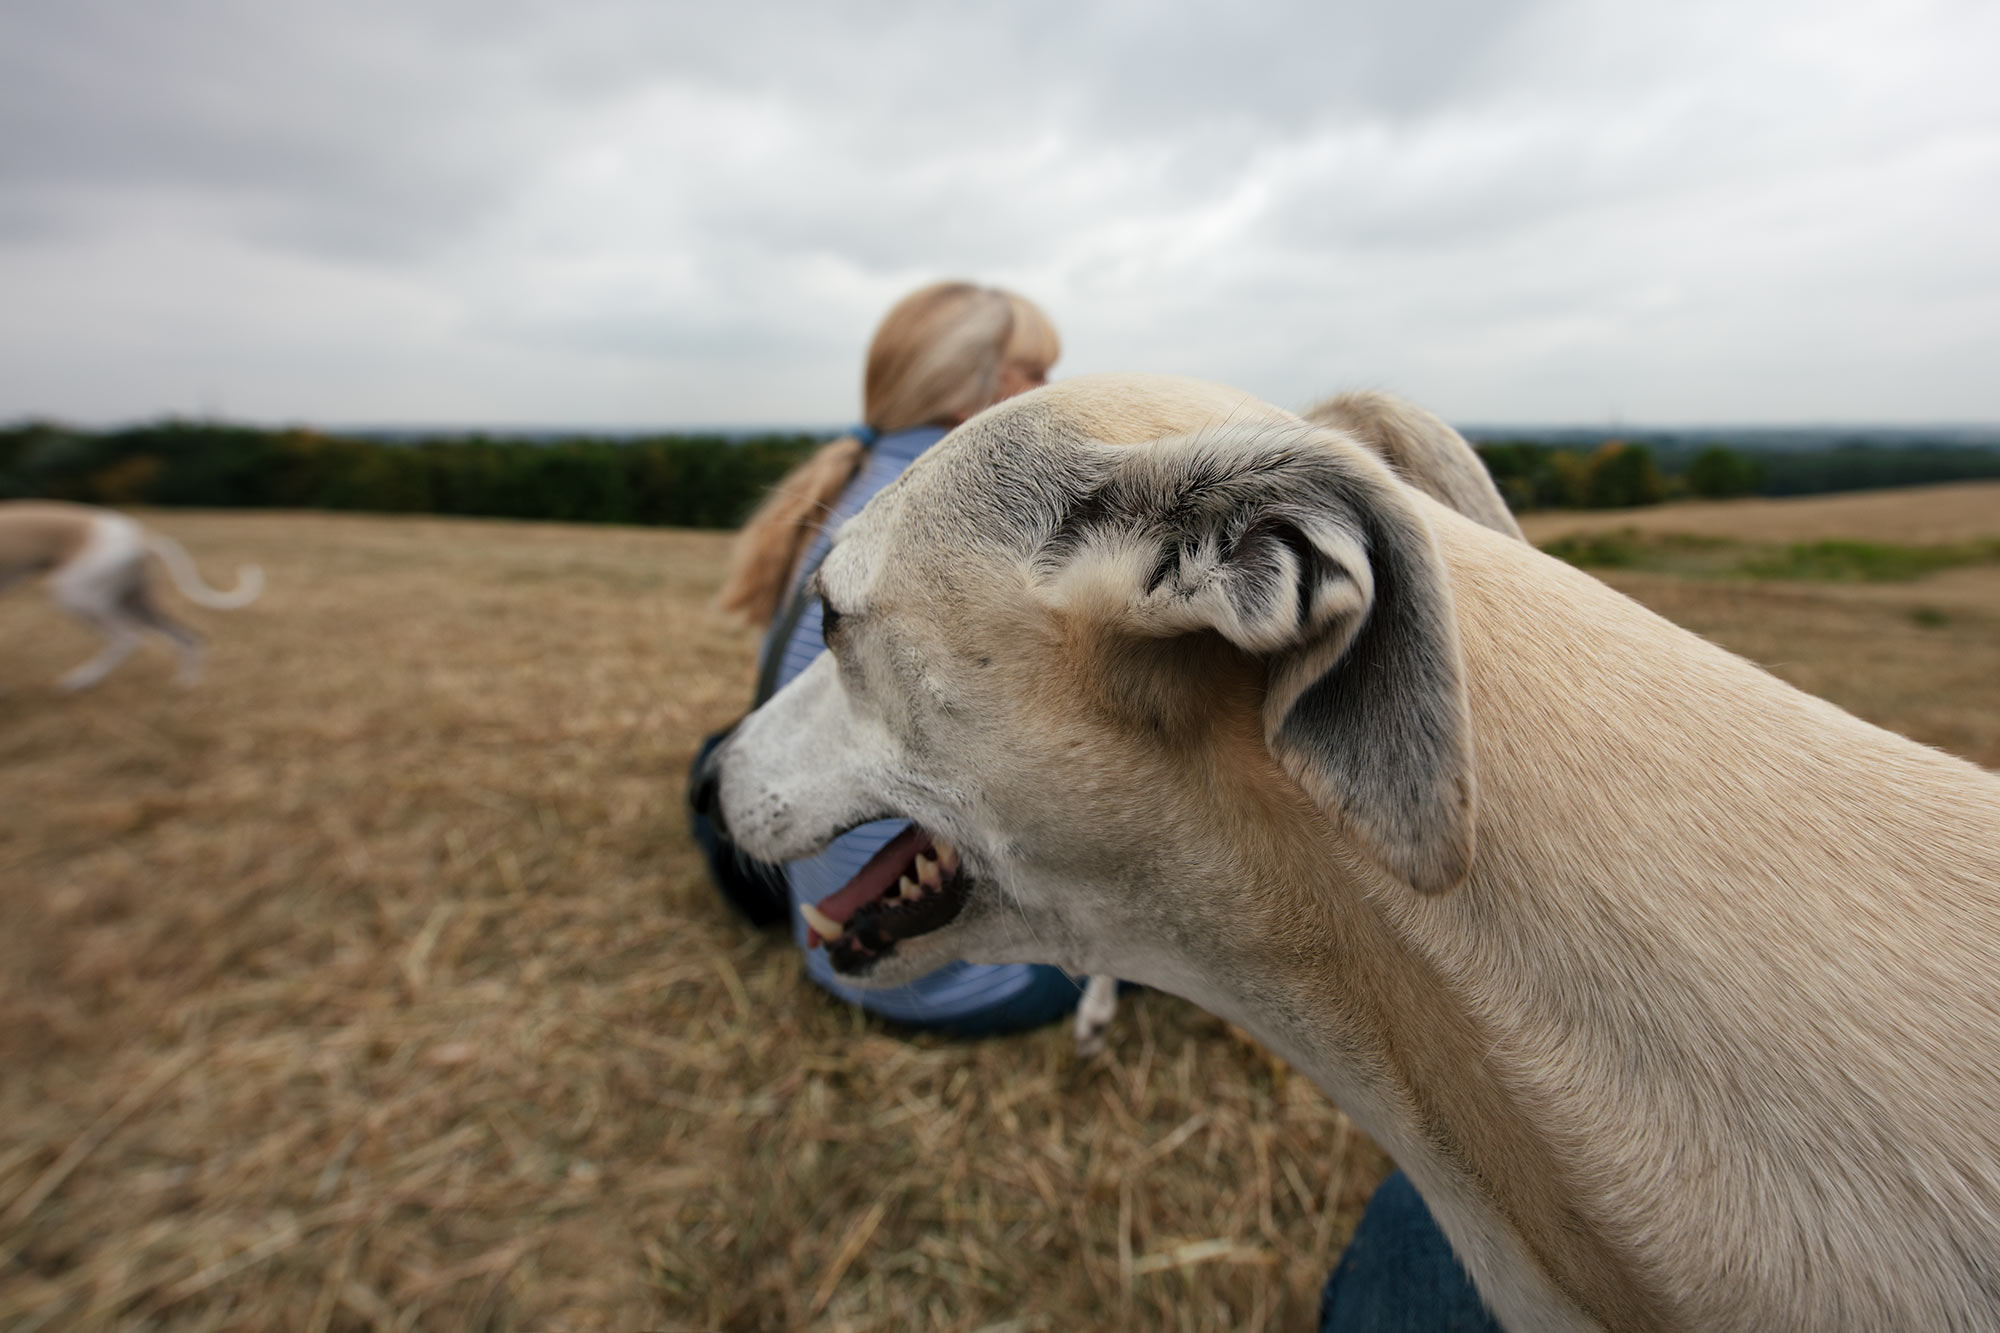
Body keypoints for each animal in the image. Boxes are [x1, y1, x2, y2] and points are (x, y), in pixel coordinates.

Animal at [1, 496, 264, 684]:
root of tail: (142, 539)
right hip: (133, 600)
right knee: (188, 637)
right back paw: (185, 685)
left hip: (76, 593)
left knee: (128, 638)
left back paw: (80, 680)